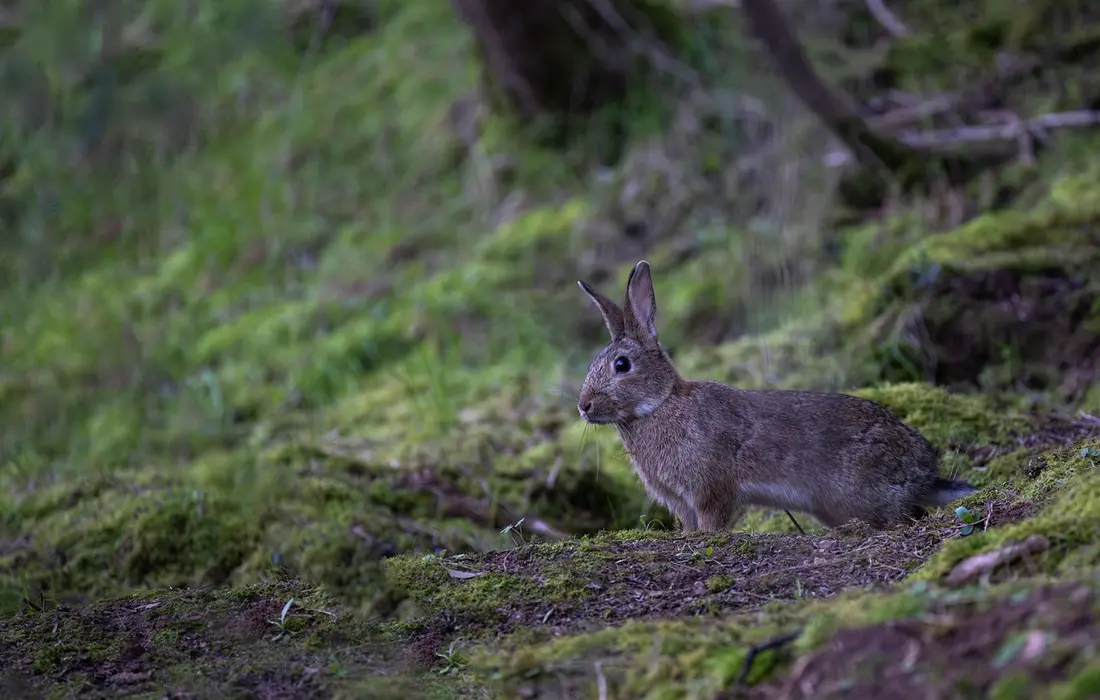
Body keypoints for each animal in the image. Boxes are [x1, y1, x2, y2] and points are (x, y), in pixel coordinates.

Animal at [575, 260, 978, 532]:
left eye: (622, 365)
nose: (584, 406)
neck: (659, 405)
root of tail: (924, 473)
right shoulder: (680, 501)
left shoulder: (710, 489)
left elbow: (712, 522)